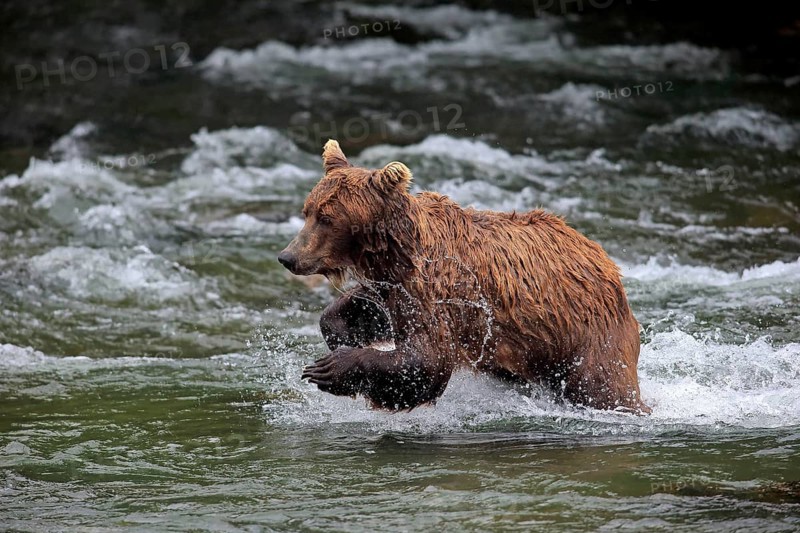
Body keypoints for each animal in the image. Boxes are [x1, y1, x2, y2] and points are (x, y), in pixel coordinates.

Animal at [278, 139, 650, 414]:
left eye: (327, 218)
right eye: (307, 211)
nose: (288, 257)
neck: (395, 253)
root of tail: (606, 261)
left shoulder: (440, 291)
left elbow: (426, 360)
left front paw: (328, 368)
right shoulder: (394, 285)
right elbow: (366, 307)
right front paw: (341, 332)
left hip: (586, 330)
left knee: (602, 385)